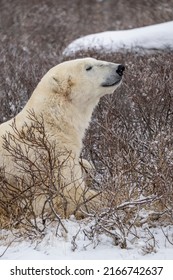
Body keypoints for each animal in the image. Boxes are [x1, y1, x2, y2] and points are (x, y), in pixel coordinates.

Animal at [0, 57, 124, 219]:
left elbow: (84, 164)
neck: (53, 119)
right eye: (88, 67)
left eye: (95, 60)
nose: (120, 68)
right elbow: (71, 192)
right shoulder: (51, 153)